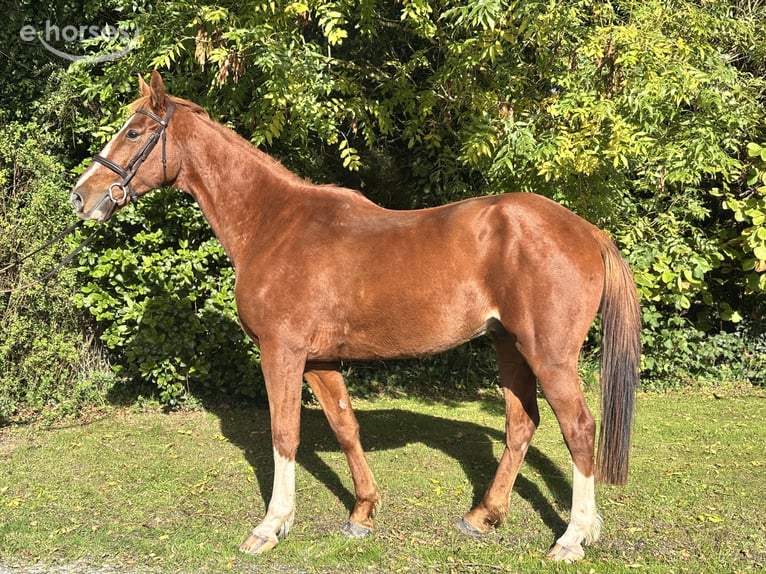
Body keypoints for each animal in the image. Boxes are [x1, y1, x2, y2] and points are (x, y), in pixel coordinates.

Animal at [70, 71, 641, 562]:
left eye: (135, 131)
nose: (82, 196)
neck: (273, 224)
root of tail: (587, 231)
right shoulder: (319, 360)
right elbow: (345, 426)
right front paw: (363, 513)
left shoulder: (282, 352)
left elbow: (284, 434)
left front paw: (271, 526)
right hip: (508, 345)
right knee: (522, 424)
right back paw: (483, 516)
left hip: (549, 355)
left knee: (579, 428)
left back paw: (573, 537)